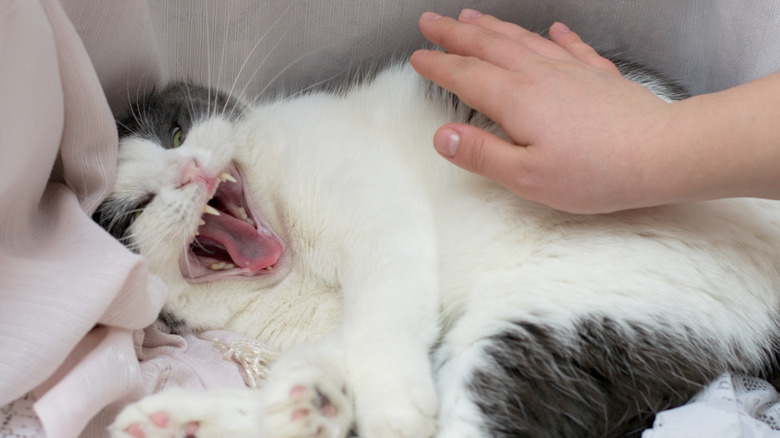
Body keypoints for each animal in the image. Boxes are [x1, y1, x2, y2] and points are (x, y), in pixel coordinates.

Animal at [96, 58, 780, 438]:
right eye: (136, 210)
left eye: (176, 132)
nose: (192, 171)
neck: (295, 265)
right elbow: (349, 344)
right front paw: (309, 396)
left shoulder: (376, 217)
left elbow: (379, 316)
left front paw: (383, 405)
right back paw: (191, 418)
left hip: (572, 315)